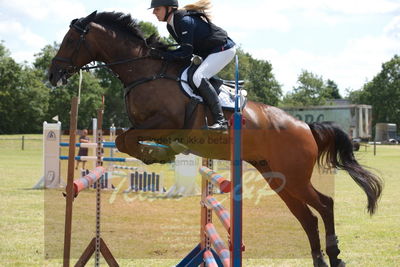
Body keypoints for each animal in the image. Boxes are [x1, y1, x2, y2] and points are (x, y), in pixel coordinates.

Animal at [48, 11, 382, 267]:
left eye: (70, 40)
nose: (52, 76)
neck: (145, 72)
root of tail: (305, 126)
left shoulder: (164, 123)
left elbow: (126, 142)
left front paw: (160, 155)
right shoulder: (146, 125)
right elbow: (123, 142)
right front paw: (160, 154)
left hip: (295, 177)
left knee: (325, 205)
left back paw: (335, 255)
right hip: (278, 178)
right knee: (308, 217)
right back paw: (320, 259)